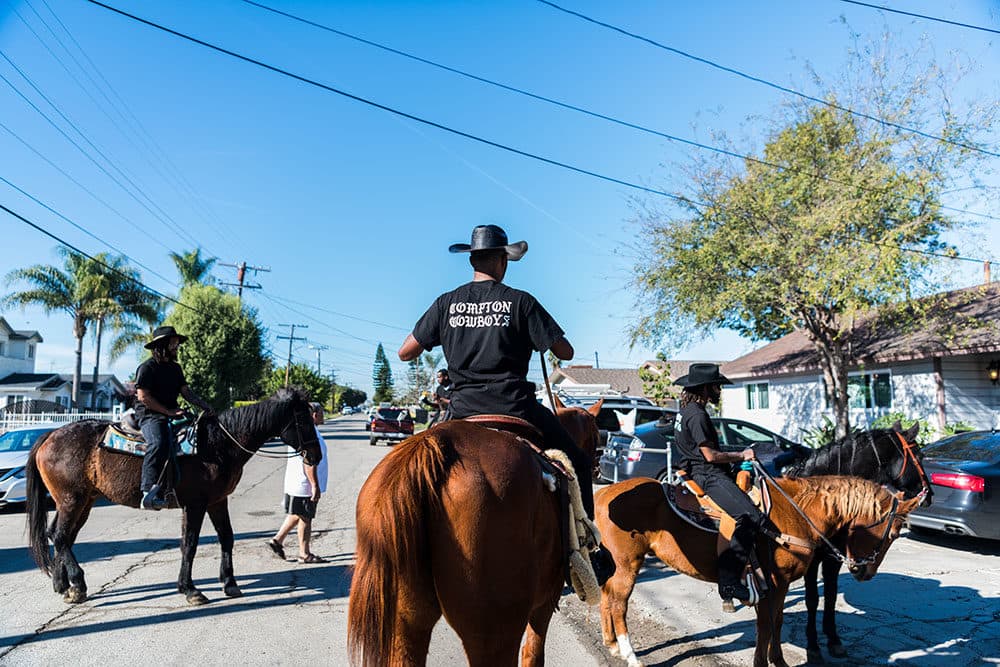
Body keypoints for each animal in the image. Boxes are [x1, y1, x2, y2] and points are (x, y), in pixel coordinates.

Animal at [24, 388, 320, 608]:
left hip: (83, 501)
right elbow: (189, 544)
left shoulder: (217, 501)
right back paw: (77, 584)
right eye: (304, 421)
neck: (217, 444)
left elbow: (227, 538)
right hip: (71, 499)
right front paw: (190, 590)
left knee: (61, 535)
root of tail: (50, 435)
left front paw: (230, 583)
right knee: (61, 536)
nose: (316, 456)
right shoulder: (195, 504)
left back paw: (63, 585)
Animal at [348, 402, 600, 667]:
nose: (597, 466)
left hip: (404, 626)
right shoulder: (546, 602)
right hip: (495, 636)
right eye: (596, 434)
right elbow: (533, 654)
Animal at [592, 474, 920, 667]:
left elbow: (775, 622)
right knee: (618, 603)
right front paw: (766, 663)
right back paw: (630, 654)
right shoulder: (773, 583)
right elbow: (766, 625)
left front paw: (777, 661)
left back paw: (611, 645)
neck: (798, 513)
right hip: (627, 564)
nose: (866, 573)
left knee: (606, 597)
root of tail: (602, 494)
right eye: (893, 533)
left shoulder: (778, 585)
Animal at [784, 422, 932, 664]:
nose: (930, 494)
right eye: (919, 455)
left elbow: (831, 596)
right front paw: (813, 646)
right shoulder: (812, 561)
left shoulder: (833, 558)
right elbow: (812, 599)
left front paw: (834, 640)